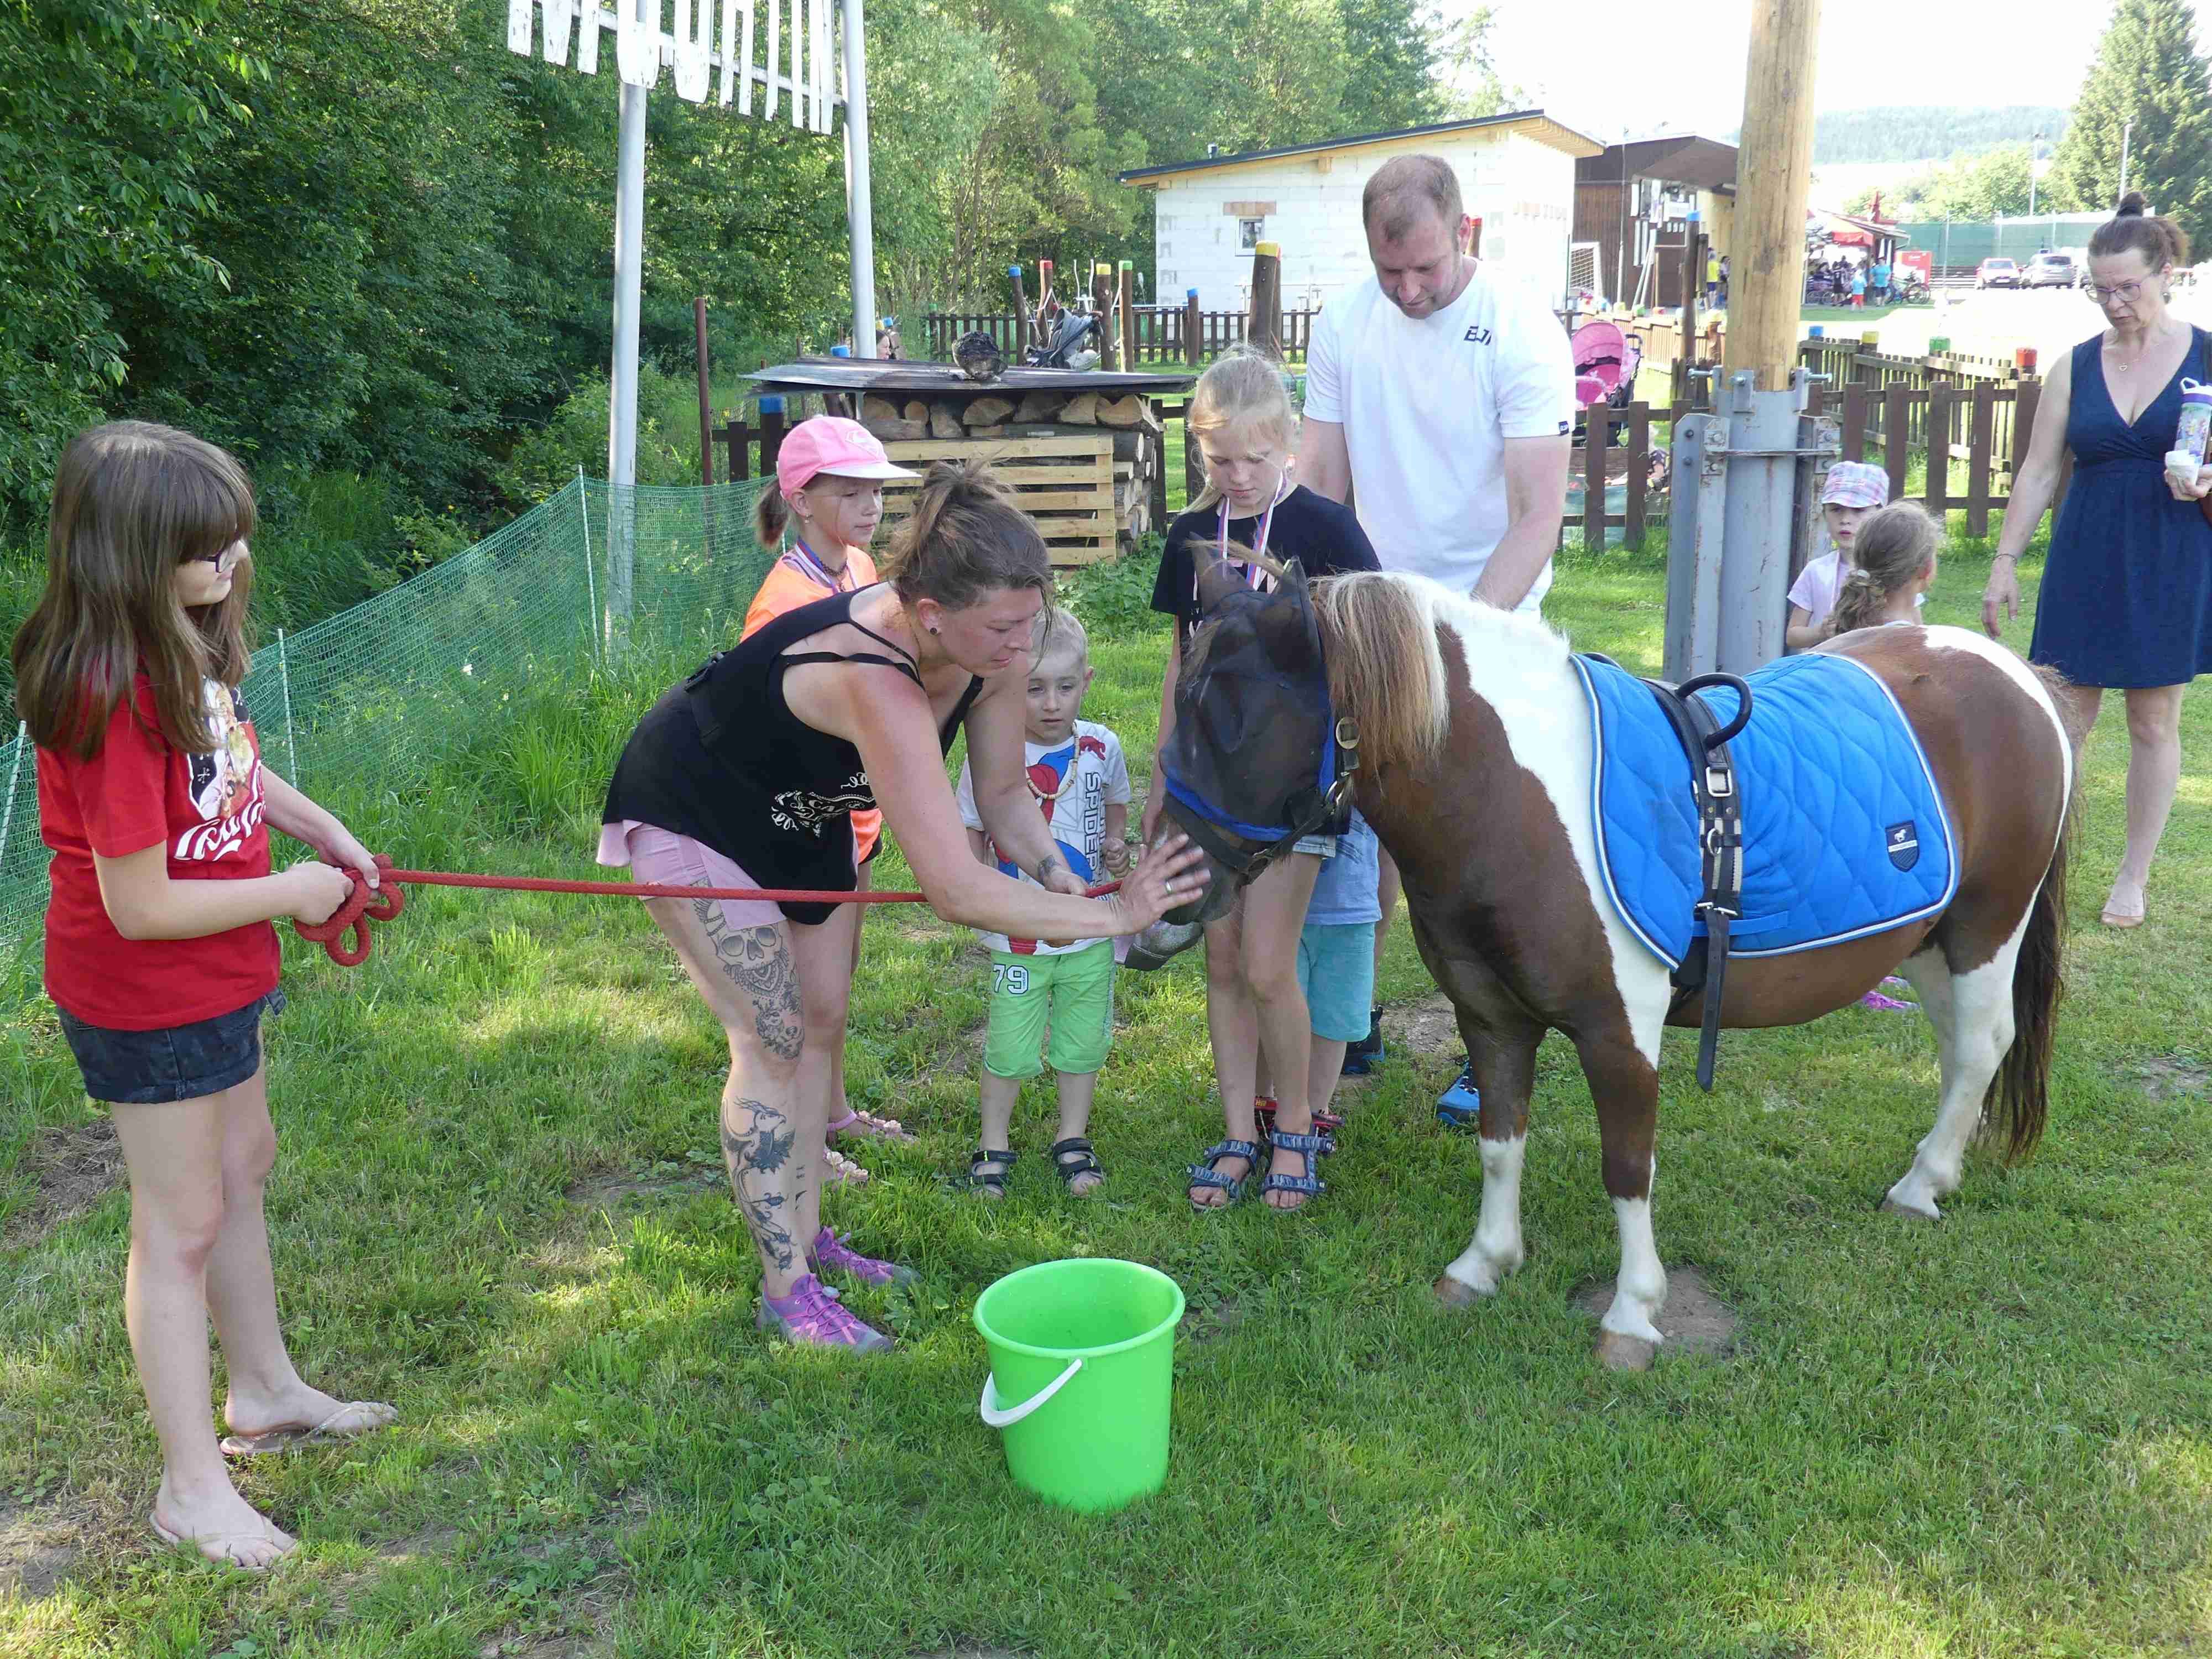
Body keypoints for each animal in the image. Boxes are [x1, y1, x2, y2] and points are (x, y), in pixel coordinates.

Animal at [1153, 551, 2076, 1370]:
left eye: (1231, 722)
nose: (1163, 901)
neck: (1512, 800)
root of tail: (2018, 676)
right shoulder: (1490, 1019)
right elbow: (1500, 1143)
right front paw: (1483, 1266)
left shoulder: (1619, 1033)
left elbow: (1628, 1169)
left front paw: (1633, 1315)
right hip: (1927, 942)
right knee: (1960, 1051)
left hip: (1985, 929)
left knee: (1979, 1048)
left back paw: (1921, 1187)